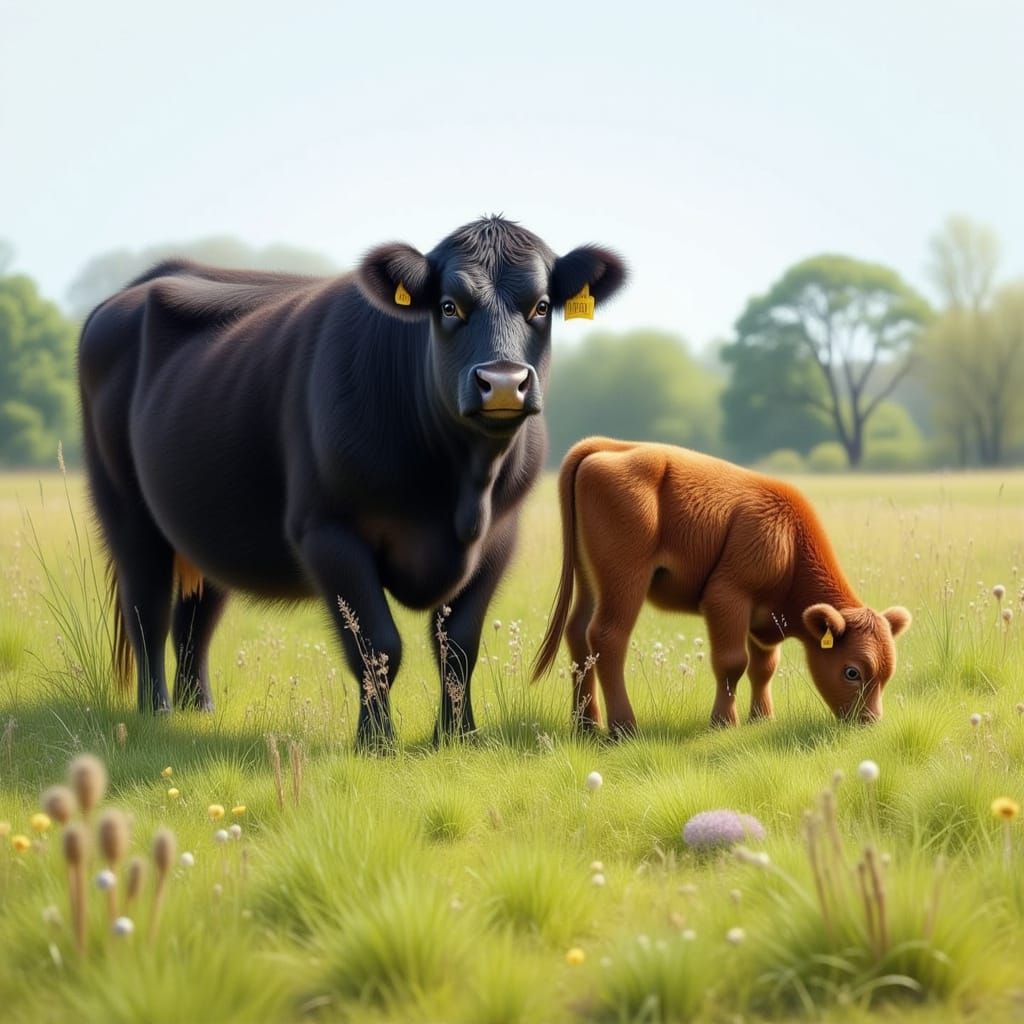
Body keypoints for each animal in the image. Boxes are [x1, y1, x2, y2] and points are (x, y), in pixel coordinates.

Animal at [78, 217, 626, 747]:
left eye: (541, 305)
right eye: (448, 306)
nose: (505, 382)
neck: (462, 488)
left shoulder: (499, 537)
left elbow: (458, 644)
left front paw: (459, 735)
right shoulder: (329, 532)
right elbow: (377, 645)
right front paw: (377, 741)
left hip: (207, 520)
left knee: (195, 618)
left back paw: (200, 711)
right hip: (126, 510)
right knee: (147, 609)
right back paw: (157, 713)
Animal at [532, 438, 911, 734]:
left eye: (888, 672)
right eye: (852, 672)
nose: (869, 722)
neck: (790, 542)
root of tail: (605, 446)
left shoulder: (763, 619)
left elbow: (764, 666)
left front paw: (762, 718)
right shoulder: (727, 597)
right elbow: (732, 662)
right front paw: (724, 723)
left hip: (590, 581)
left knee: (578, 633)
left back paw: (586, 725)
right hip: (624, 579)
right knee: (608, 637)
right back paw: (623, 728)